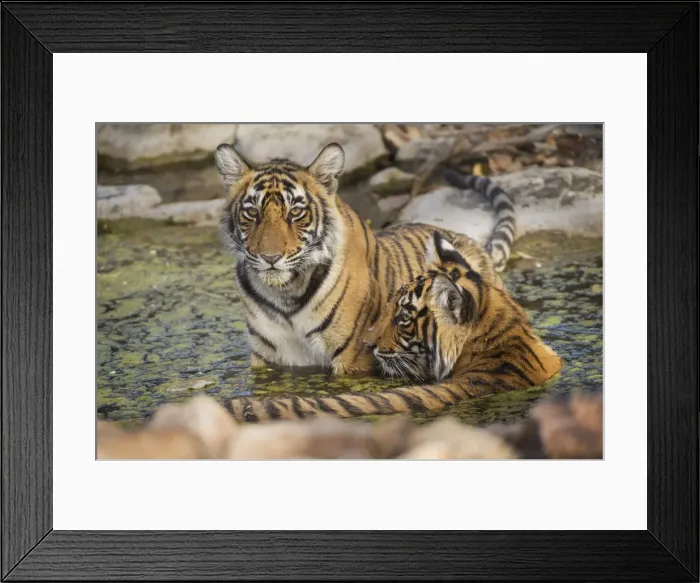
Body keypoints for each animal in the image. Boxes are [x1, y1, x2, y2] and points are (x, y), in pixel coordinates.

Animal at [215, 142, 516, 377]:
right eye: (252, 212)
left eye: (296, 213)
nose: (270, 257)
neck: (286, 294)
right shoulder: (267, 360)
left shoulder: (354, 358)